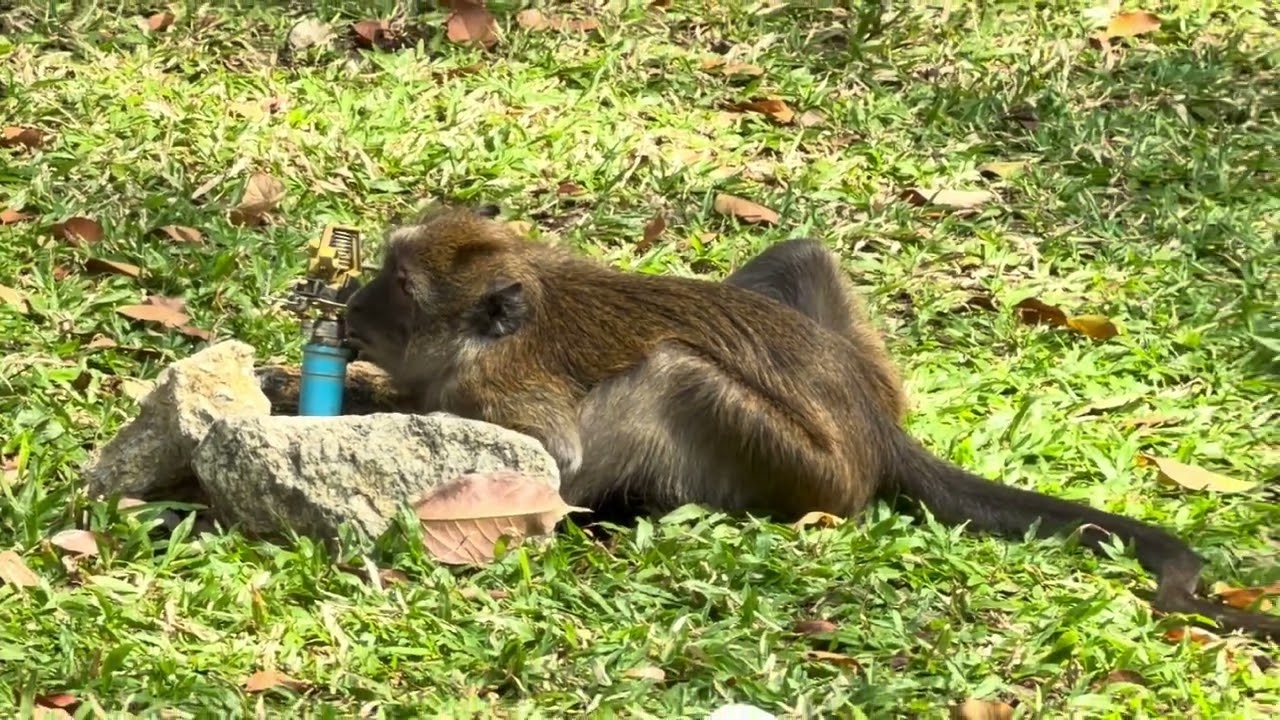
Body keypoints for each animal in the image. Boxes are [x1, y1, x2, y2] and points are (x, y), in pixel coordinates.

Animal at [343, 205, 1280, 642]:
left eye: (400, 286)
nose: (352, 303)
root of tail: (876, 426)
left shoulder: (506, 388)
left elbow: (553, 459)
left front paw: (368, 399)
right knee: (798, 252)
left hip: (807, 472)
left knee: (675, 370)